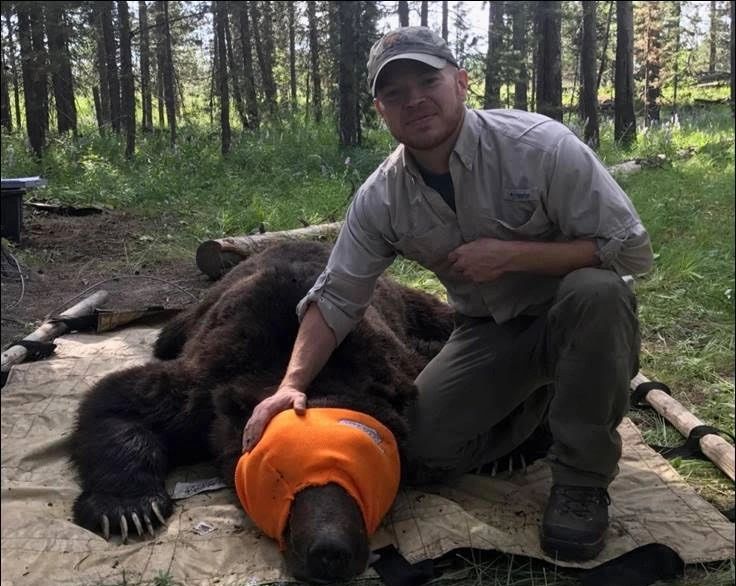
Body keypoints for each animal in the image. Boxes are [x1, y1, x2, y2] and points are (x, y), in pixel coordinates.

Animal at [72, 240, 458, 580]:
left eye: (370, 471)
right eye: (277, 476)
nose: (330, 551)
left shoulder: (397, 364)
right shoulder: (205, 390)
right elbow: (124, 399)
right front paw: (129, 510)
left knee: (437, 314)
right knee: (167, 335)